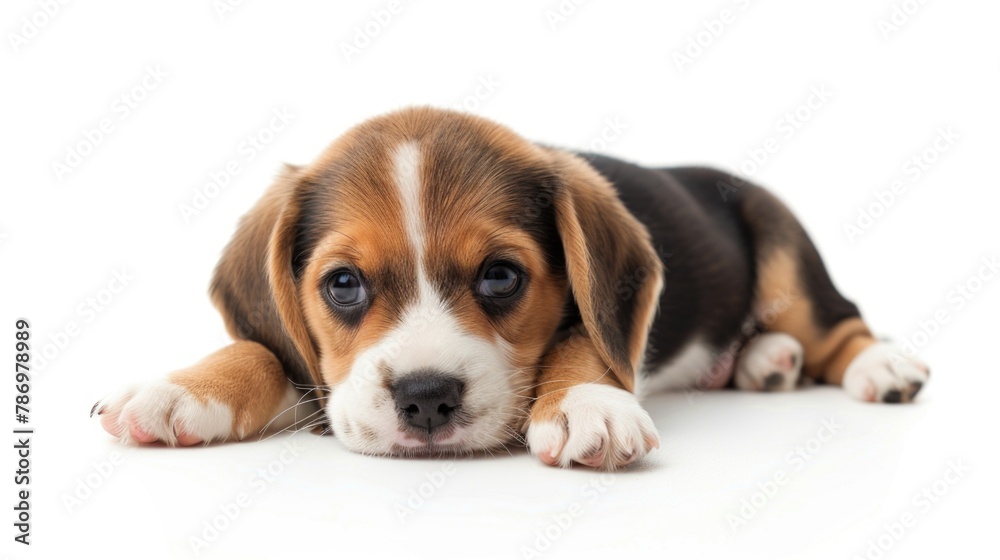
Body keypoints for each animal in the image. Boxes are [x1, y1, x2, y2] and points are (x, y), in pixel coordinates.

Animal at [94, 107, 928, 470]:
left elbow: (582, 343)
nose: (426, 400)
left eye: (500, 275)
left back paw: (879, 366)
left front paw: (588, 404)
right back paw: (765, 362)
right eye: (342, 285)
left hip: (783, 246)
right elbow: (265, 350)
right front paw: (178, 388)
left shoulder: (593, 323)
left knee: (840, 322)